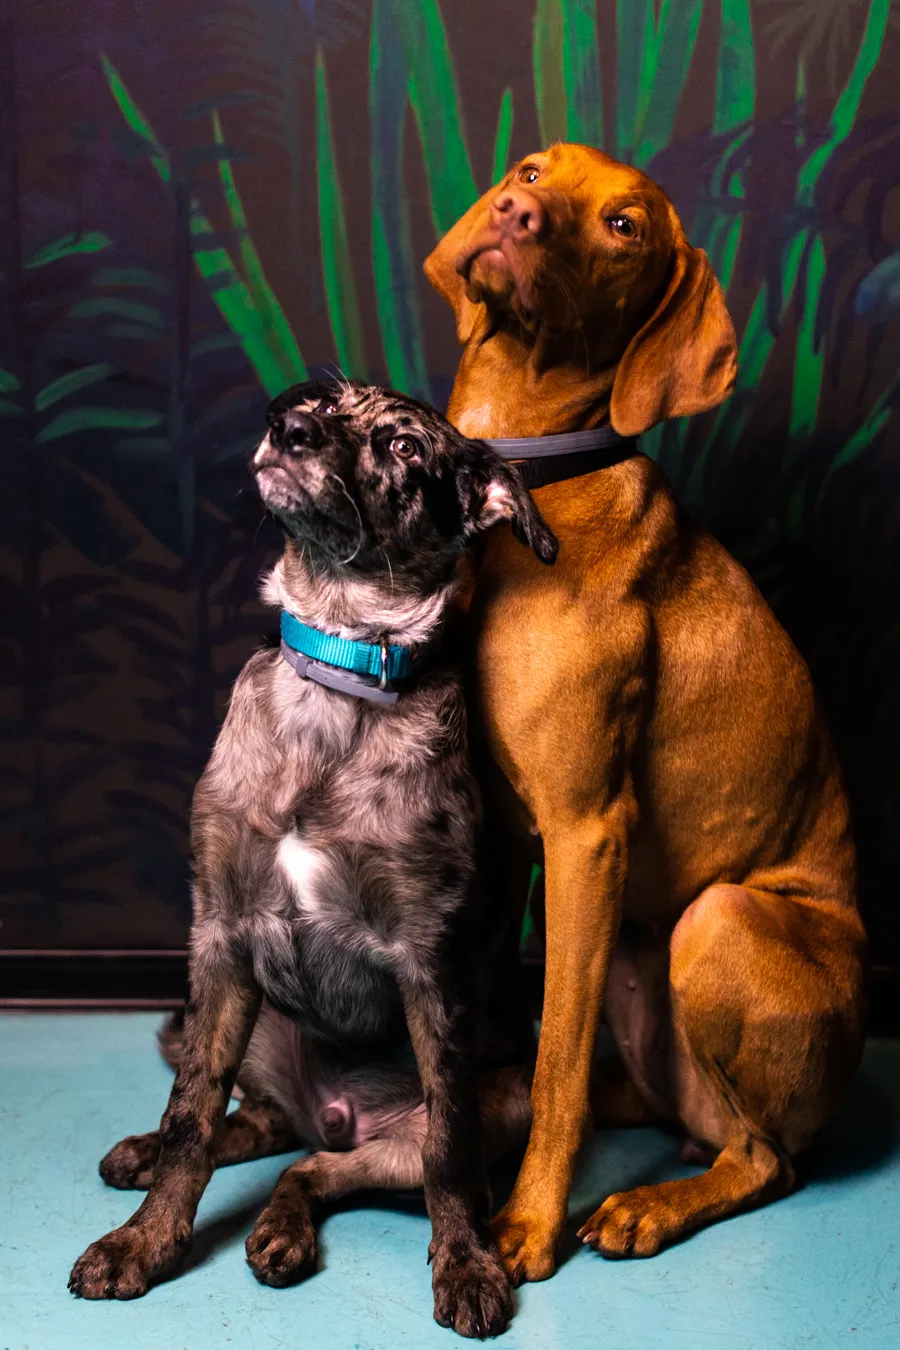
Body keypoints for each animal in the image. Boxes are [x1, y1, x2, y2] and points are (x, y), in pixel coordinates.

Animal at [68, 381, 558, 1338]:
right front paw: (144, 1241)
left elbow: (450, 1156)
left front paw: (467, 1263)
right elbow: (190, 1115)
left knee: (317, 1167)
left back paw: (283, 1228)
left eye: (405, 447)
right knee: (248, 1120)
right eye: (321, 402)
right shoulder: (220, 937)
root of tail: (328, 1114)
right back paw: (148, 1154)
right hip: (224, 1018)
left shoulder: (430, 962)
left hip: (501, 1100)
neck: (339, 670)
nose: (286, 427)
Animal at [424, 142, 867, 1284]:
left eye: (624, 227)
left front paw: (525, 1222)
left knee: (765, 1160)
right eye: (535, 167)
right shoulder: (500, 834)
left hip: (716, 920)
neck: (525, 475)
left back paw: (649, 1205)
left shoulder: (587, 830)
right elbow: (496, 1011)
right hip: (635, 948)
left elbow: (555, 1057)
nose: (515, 212)